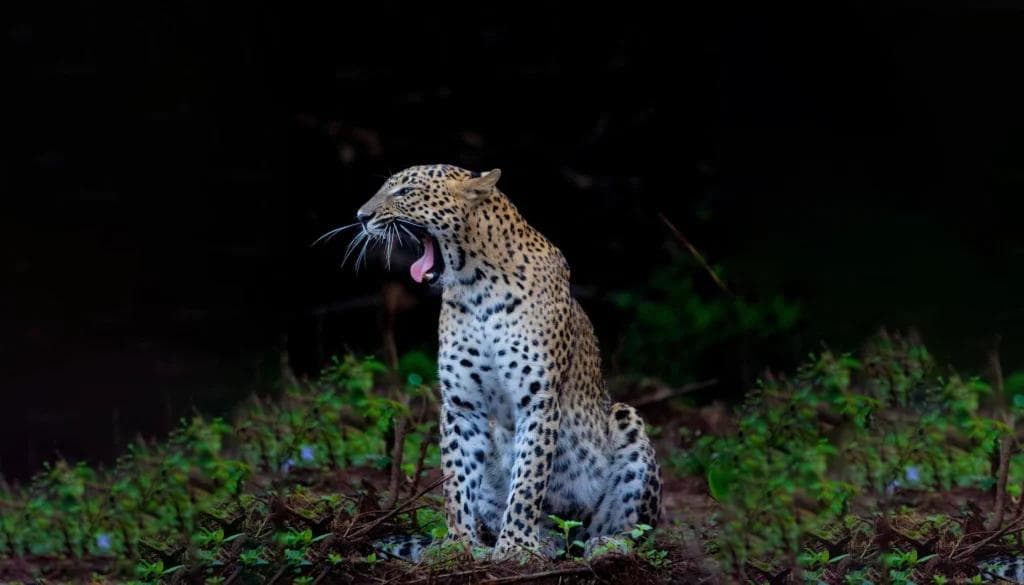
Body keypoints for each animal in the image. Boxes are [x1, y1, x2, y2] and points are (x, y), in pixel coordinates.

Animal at [347, 164, 662, 561]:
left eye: (405, 191)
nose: (361, 217)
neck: (476, 284)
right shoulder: (463, 406)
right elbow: (456, 481)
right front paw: (459, 545)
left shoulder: (538, 400)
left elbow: (528, 479)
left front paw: (515, 546)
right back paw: (543, 540)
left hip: (626, 422)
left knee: (626, 530)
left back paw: (606, 543)